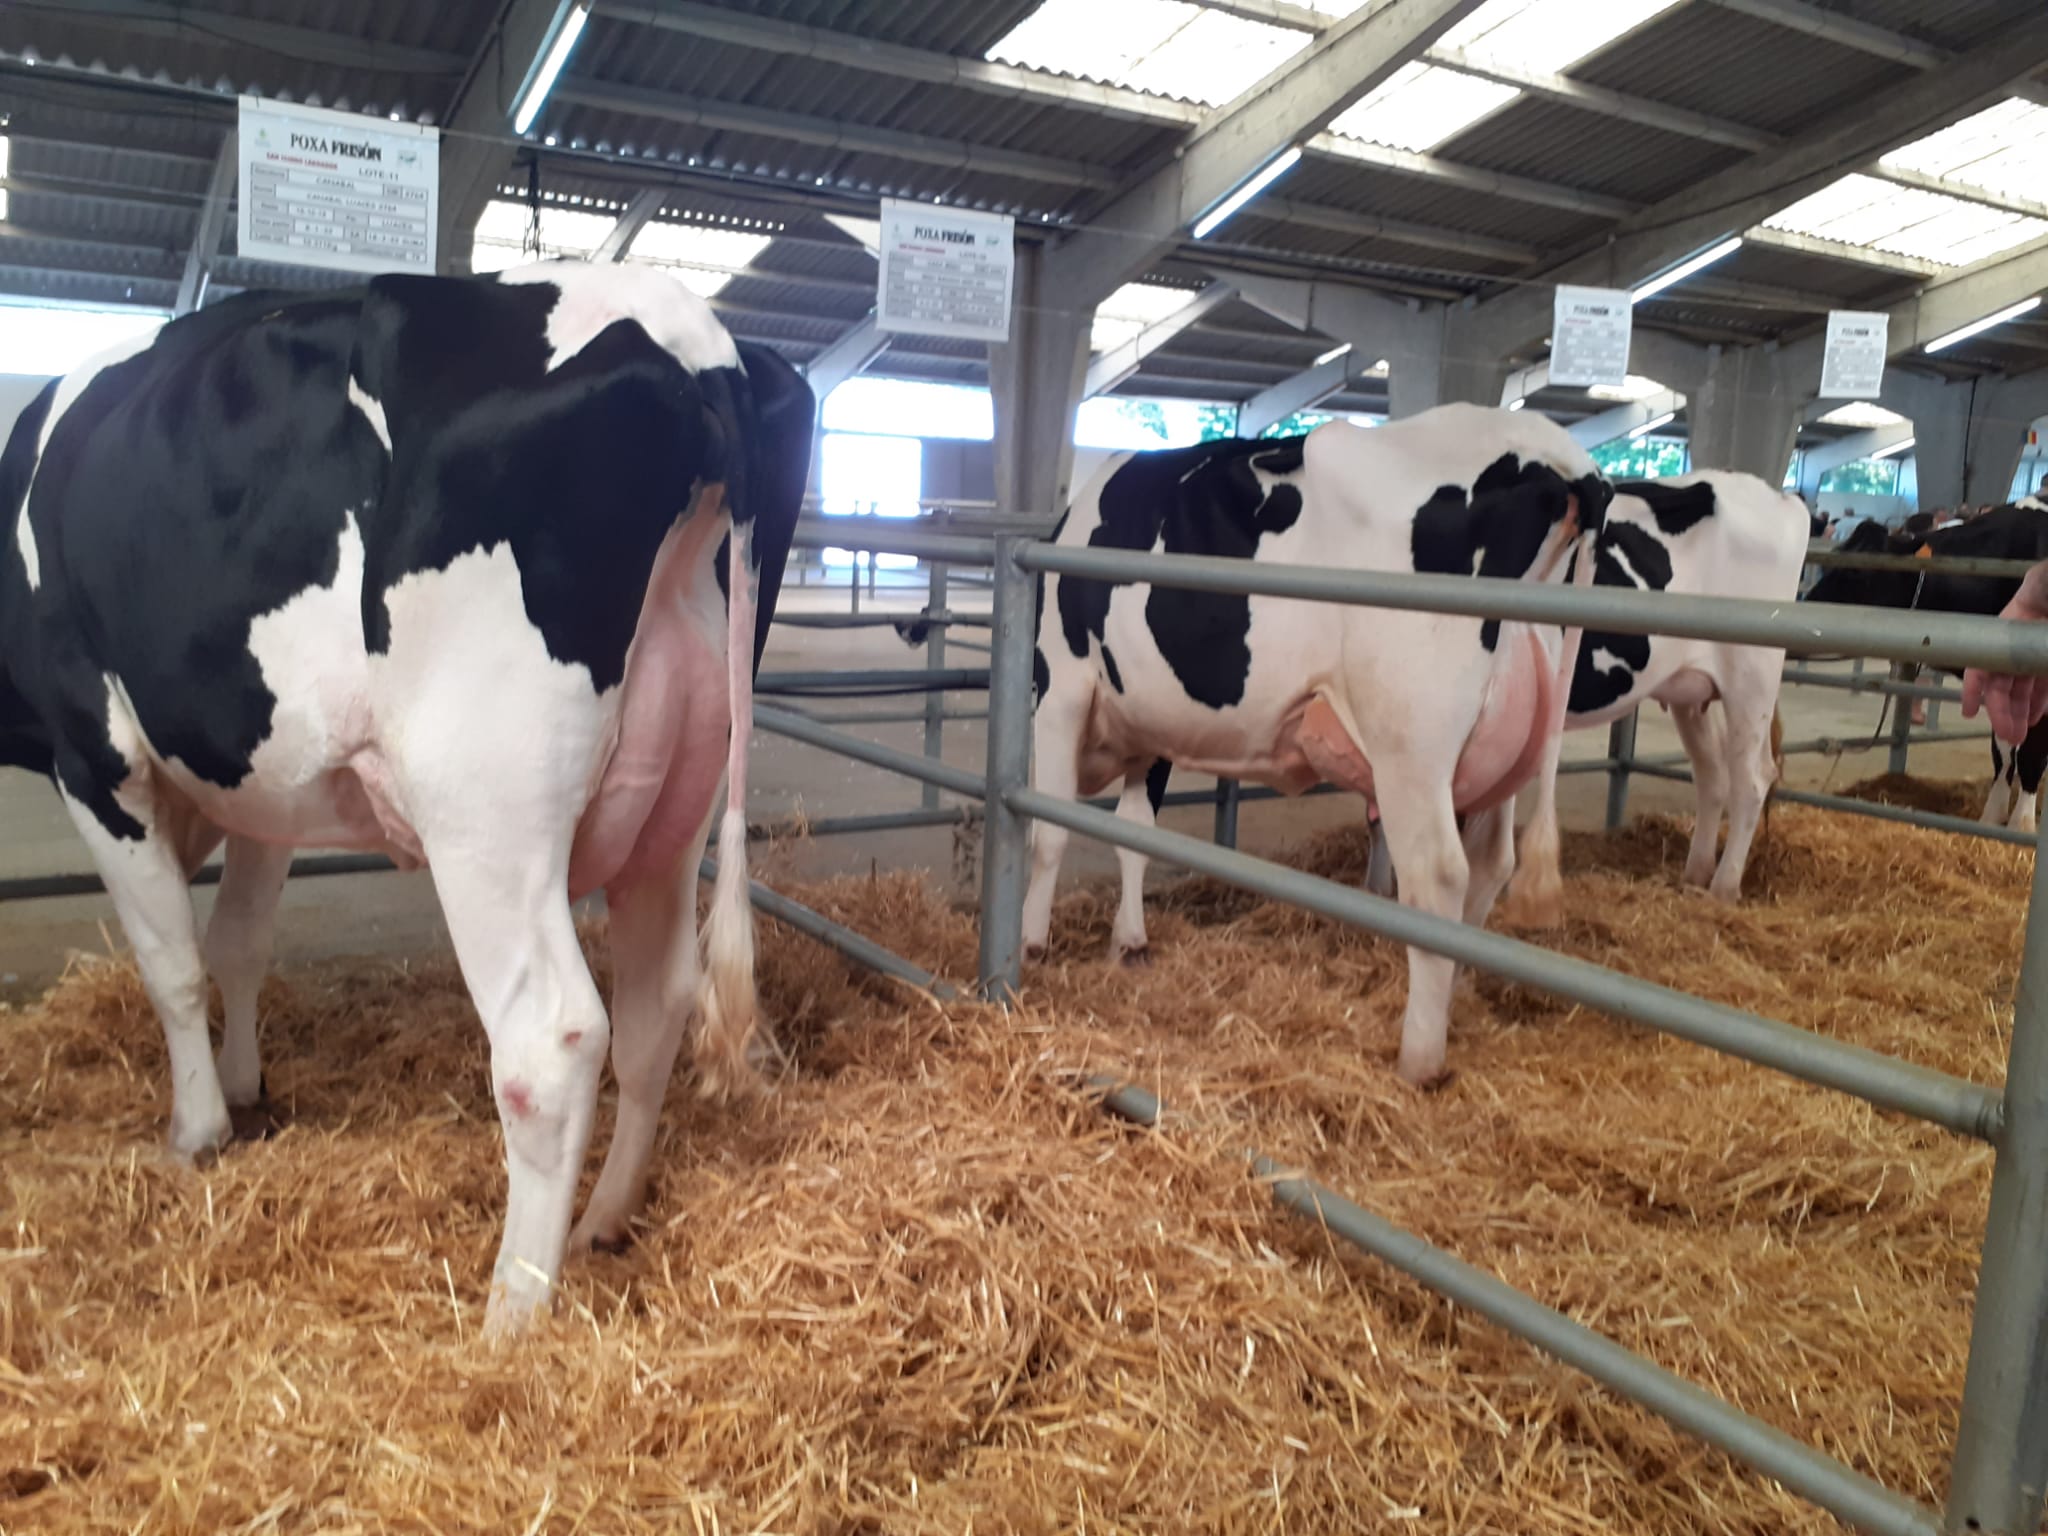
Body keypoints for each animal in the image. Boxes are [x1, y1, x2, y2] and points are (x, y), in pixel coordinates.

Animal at [0, 261, 811, 1334]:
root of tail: (692, 335)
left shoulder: (96, 753)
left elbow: (170, 961)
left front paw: (198, 1128)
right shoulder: (269, 778)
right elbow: (239, 940)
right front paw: (245, 1089)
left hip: (485, 804)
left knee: (552, 1038)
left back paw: (511, 1313)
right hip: (676, 798)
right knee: (656, 1003)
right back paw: (602, 1221)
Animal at [1024, 404, 1610, 1087]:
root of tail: (1559, 453)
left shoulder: (1060, 688)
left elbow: (1049, 832)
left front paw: (1031, 942)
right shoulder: (1150, 722)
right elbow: (1134, 838)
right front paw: (1130, 942)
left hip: (1410, 744)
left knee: (1439, 876)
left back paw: (1419, 1058)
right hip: (1509, 752)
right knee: (1493, 862)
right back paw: (1457, 996)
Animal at [1501, 472, 1811, 923]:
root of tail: (1779, 496)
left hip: (1752, 676)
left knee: (1751, 780)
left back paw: (1722, 888)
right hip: (1692, 691)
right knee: (1712, 774)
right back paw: (1695, 874)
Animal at [1806, 497, 2048, 832]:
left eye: (1855, 572)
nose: (1804, 601)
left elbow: (2030, 753)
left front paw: (2020, 825)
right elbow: (2002, 749)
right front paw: (1991, 817)